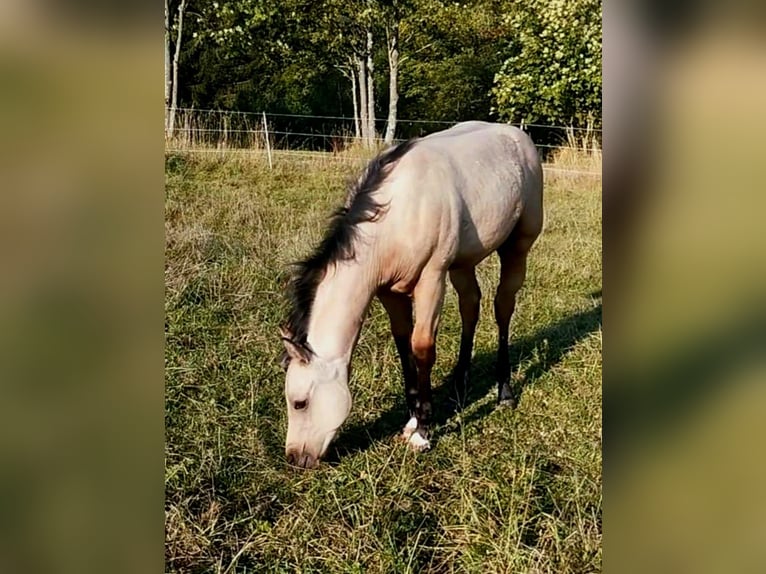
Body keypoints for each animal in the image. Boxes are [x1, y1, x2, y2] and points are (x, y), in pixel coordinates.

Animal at [279, 121, 543, 468]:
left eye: (300, 403)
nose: (296, 458)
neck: (398, 212)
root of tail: (518, 135)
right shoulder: (389, 292)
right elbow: (403, 345)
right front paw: (412, 420)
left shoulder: (431, 279)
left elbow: (422, 348)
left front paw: (423, 432)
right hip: (462, 262)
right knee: (470, 306)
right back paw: (459, 383)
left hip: (517, 246)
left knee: (503, 307)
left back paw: (505, 392)